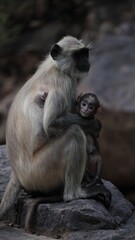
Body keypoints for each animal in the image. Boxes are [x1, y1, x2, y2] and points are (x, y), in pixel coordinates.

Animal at [0, 36, 111, 227]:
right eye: (78, 55)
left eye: (85, 53)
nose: (87, 62)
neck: (55, 67)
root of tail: (17, 174)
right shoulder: (64, 83)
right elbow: (51, 122)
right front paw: (94, 124)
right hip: (39, 172)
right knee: (74, 133)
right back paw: (74, 194)